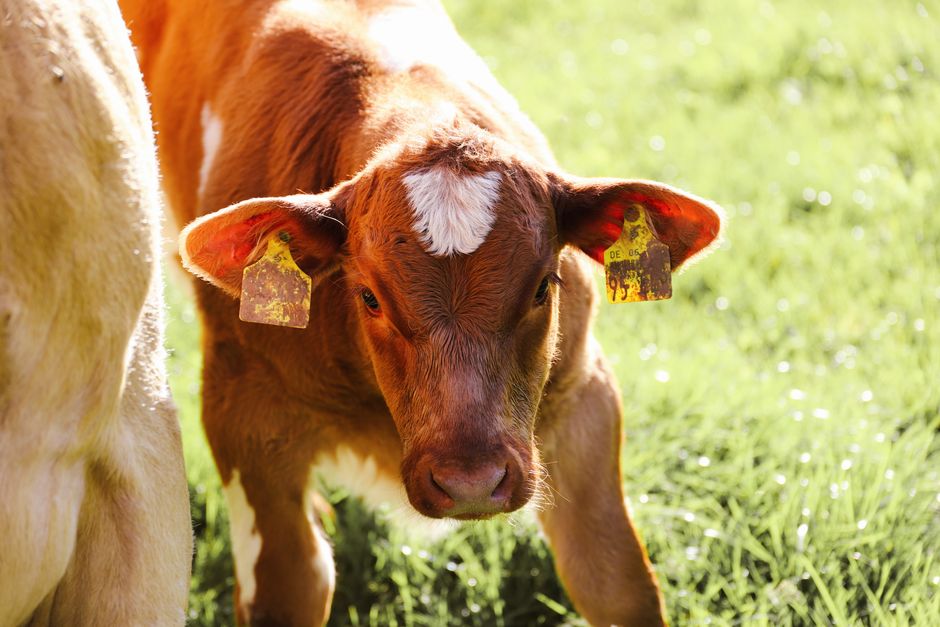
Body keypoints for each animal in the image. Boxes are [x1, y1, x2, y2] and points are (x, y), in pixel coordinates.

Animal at [120, 0, 722, 624]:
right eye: (368, 296)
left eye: (542, 287)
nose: (472, 482)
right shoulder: (242, 408)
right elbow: (292, 585)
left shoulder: (584, 392)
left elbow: (614, 579)